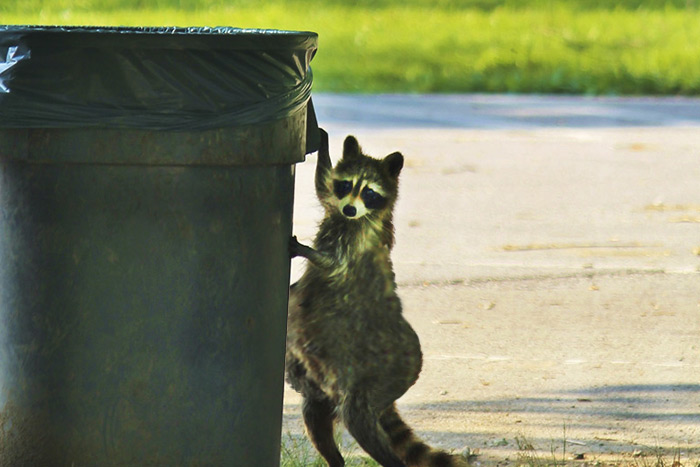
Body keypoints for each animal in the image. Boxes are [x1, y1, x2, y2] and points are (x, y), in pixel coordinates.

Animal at [284, 129, 464, 467]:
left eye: (369, 192)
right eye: (347, 185)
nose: (350, 209)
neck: (353, 218)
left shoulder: (359, 238)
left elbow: (334, 263)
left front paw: (306, 251)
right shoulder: (335, 205)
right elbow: (322, 186)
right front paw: (326, 145)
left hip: (384, 375)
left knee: (357, 418)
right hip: (323, 388)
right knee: (315, 414)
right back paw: (335, 459)